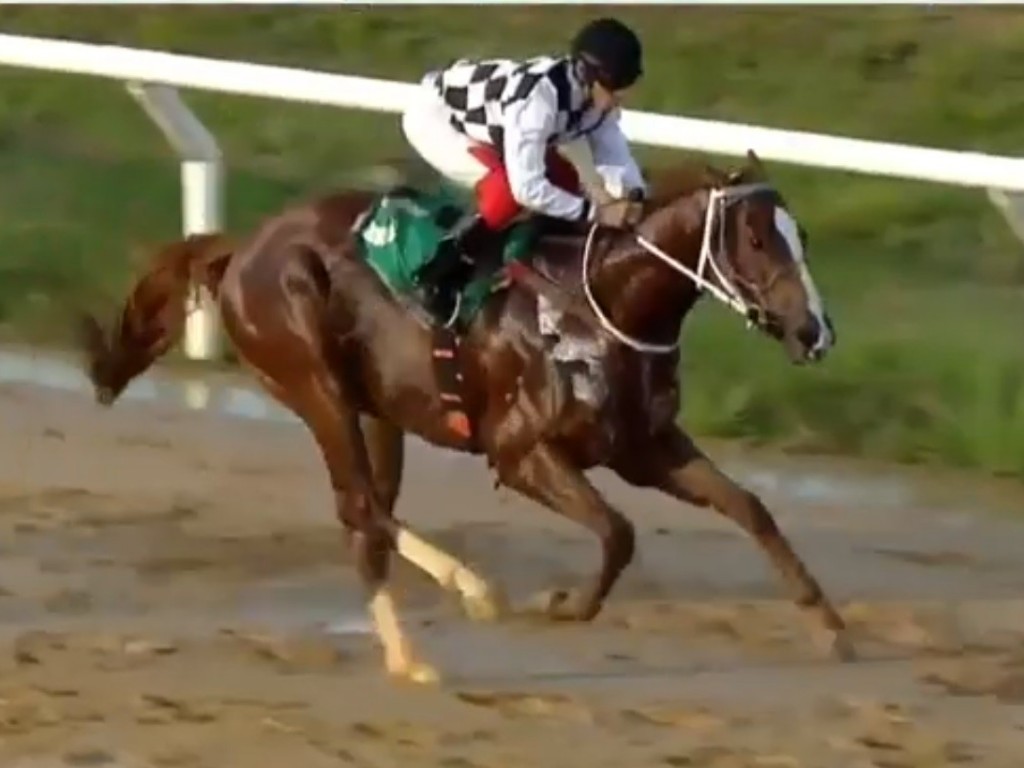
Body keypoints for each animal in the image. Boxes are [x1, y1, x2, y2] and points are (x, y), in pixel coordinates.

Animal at [77, 150, 847, 684]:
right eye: (757, 240)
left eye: (803, 236)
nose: (816, 332)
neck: (600, 303)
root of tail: (242, 250)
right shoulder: (523, 453)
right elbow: (619, 532)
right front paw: (561, 604)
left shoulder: (644, 445)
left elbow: (749, 508)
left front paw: (830, 624)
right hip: (314, 379)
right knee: (360, 503)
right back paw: (471, 594)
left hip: (377, 407)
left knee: (368, 515)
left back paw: (406, 655)